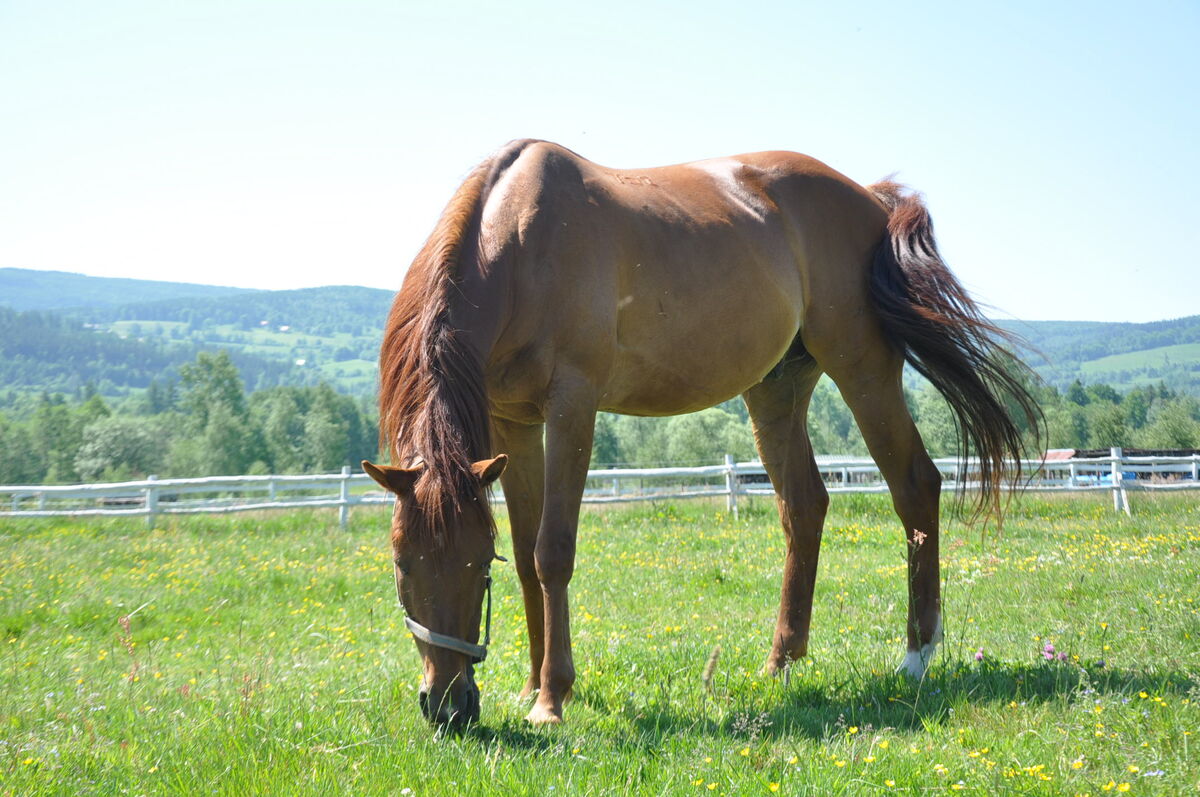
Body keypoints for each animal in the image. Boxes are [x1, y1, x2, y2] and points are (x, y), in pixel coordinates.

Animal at [362, 139, 1040, 727]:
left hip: (863, 368)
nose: (447, 707)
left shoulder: (572, 405)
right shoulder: (515, 422)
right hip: (776, 389)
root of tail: (871, 199)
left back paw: (916, 657)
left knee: (914, 487)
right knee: (805, 507)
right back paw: (780, 663)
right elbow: (528, 556)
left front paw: (551, 699)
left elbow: (552, 551)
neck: (516, 246)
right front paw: (530, 685)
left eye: (478, 564)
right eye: (400, 564)